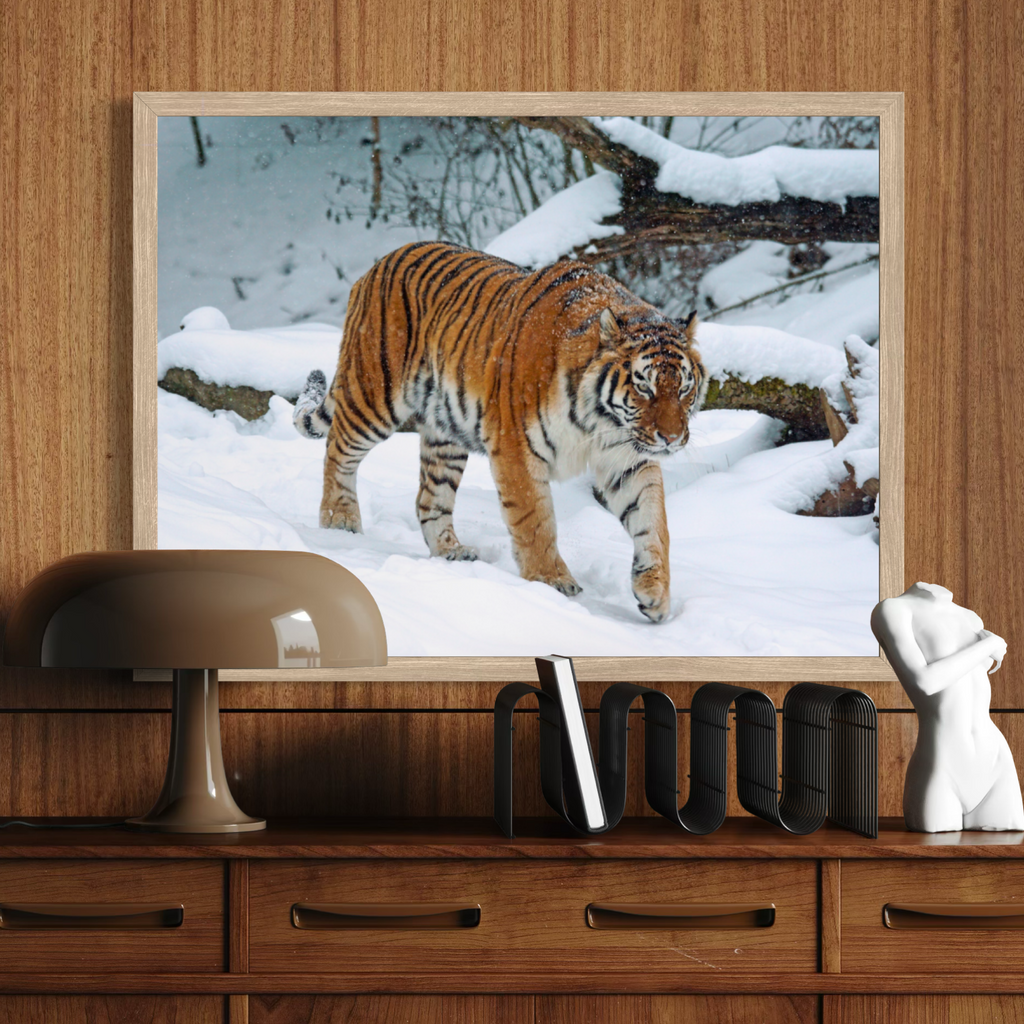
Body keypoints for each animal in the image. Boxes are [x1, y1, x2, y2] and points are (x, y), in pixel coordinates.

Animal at [293, 241, 706, 623]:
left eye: (684, 388)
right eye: (644, 387)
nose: (672, 438)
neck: (601, 422)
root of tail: (379, 263)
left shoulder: (628, 458)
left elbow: (653, 522)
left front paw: (655, 592)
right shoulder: (516, 448)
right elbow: (535, 521)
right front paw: (551, 581)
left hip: (445, 434)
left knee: (429, 498)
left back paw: (451, 552)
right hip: (374, 394)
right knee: (338, 450)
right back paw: (338, 521)